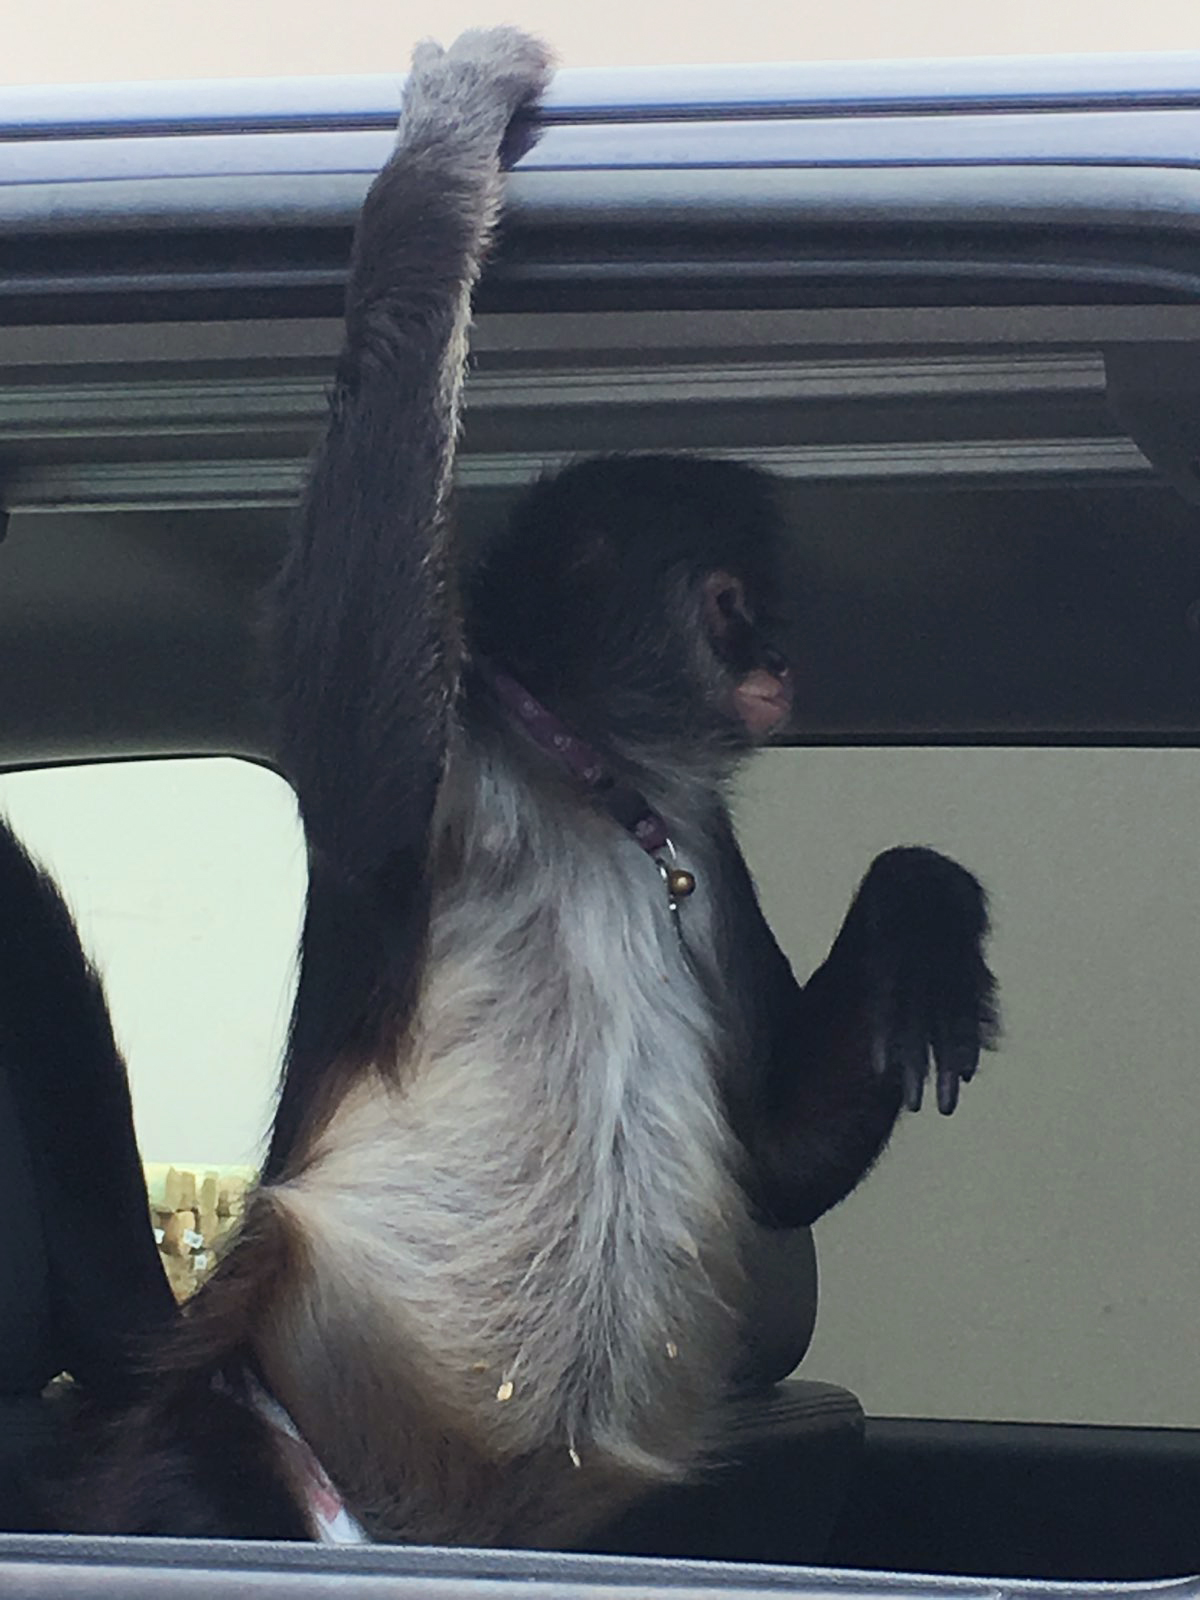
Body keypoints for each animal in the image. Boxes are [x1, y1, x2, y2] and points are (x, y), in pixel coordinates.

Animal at [65, 28, 998, 1548]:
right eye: (734, 608)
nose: (783, 659)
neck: (581, 781)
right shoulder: (452, 753)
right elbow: (354, 733)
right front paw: (441, 159)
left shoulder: (694, 834)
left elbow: (774, 1158)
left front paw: (922, 909)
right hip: (254, 1425)